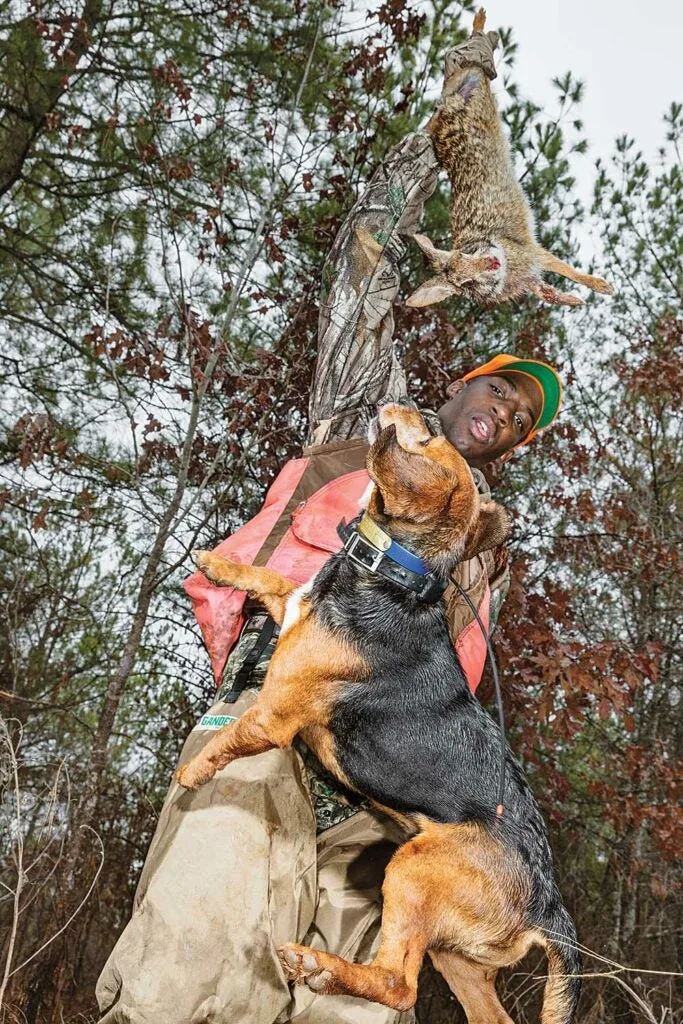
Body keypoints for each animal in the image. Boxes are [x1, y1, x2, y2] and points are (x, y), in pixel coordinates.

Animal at [176, 403, 581, 1019]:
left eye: (429, 434)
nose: (412, 404)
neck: (390, 573)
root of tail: (549, 905)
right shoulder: (291, 606)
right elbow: (273, 579)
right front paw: (217, 563)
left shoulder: (274, 714)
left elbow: (232, 736)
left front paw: (191, 772)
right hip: (459, 959)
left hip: (411, 870)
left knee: (397, 983)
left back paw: (317, 966)